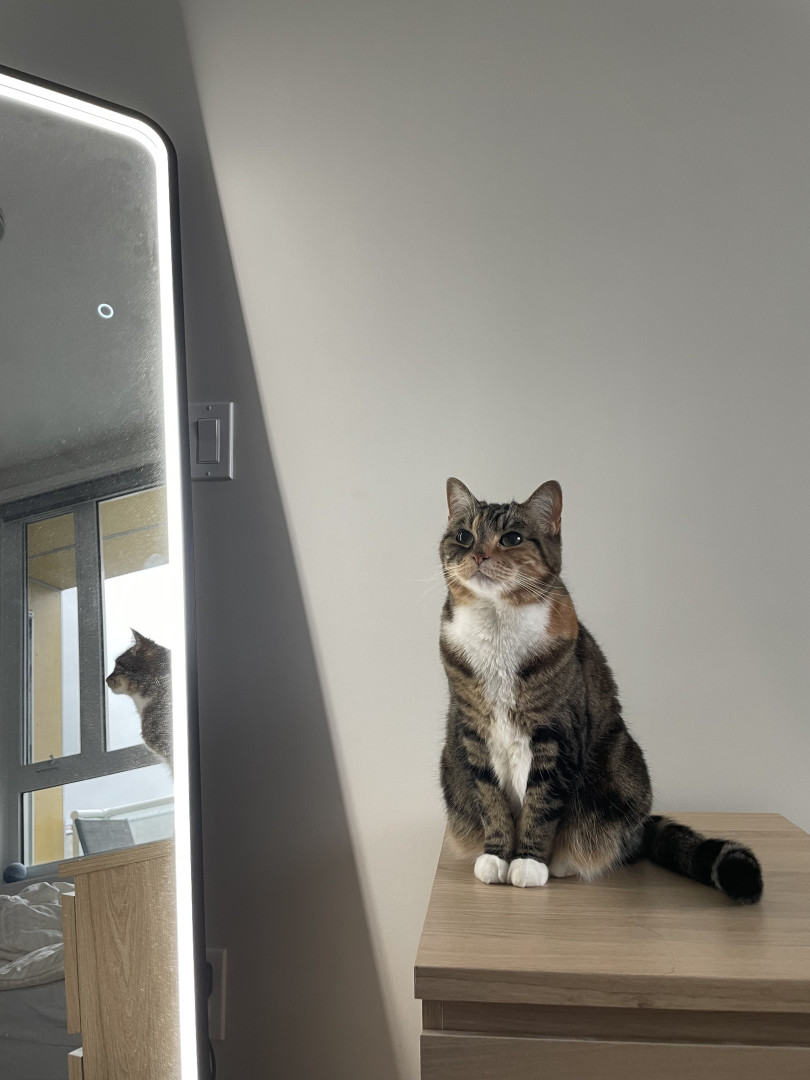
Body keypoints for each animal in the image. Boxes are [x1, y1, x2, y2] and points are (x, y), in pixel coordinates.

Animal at [438, 477, 762, 903]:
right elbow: (490, 798)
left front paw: (528, 862)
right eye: (464, 536)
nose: (477, 554)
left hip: (621, 764)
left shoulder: (556, 733)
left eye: (512, 538)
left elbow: (540, 803)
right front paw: (496, 857)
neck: (497, 628)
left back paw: (564, 862)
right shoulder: (475, 733)